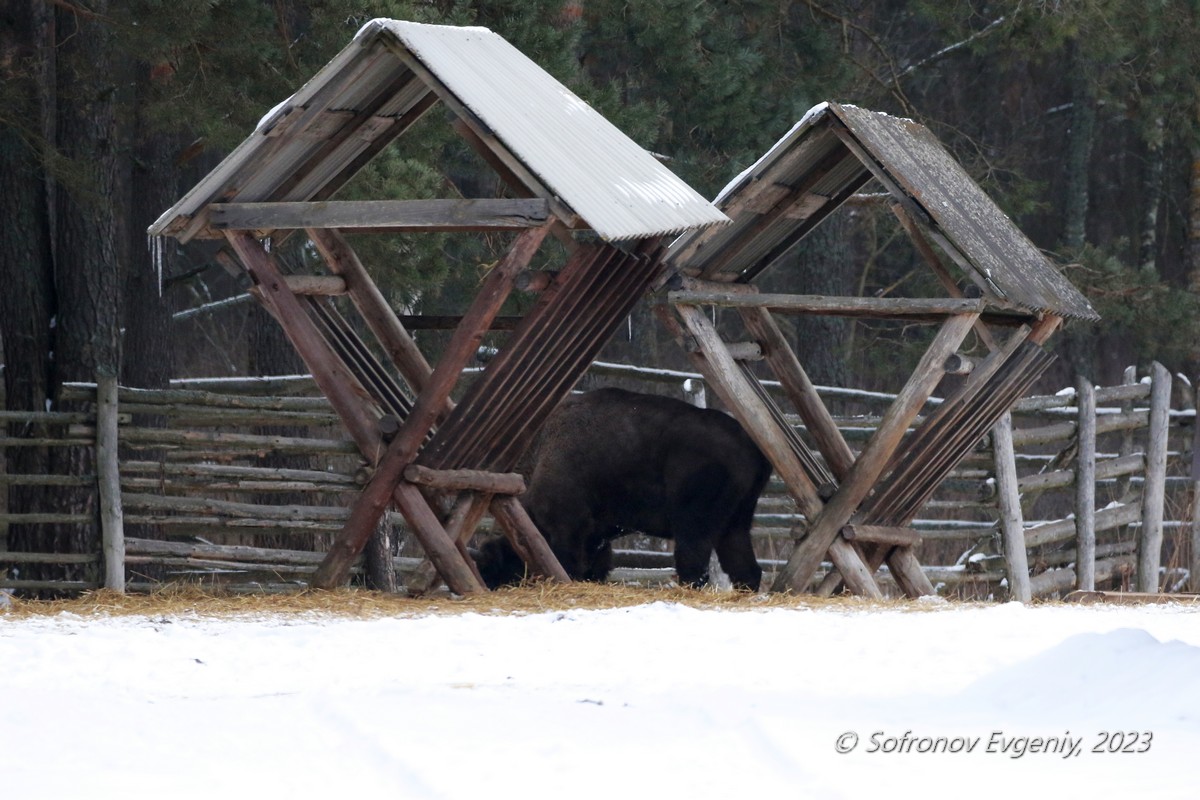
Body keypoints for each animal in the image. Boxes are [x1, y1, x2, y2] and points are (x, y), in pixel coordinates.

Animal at [475, 388, 768, 587]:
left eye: (493, 562)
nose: (490, 584)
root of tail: (751, 447)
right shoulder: (596, 535)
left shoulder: (568, 527)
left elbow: (570, 562)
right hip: (736, 522)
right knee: (745, 568)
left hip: (694, 524)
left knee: (693, 563)